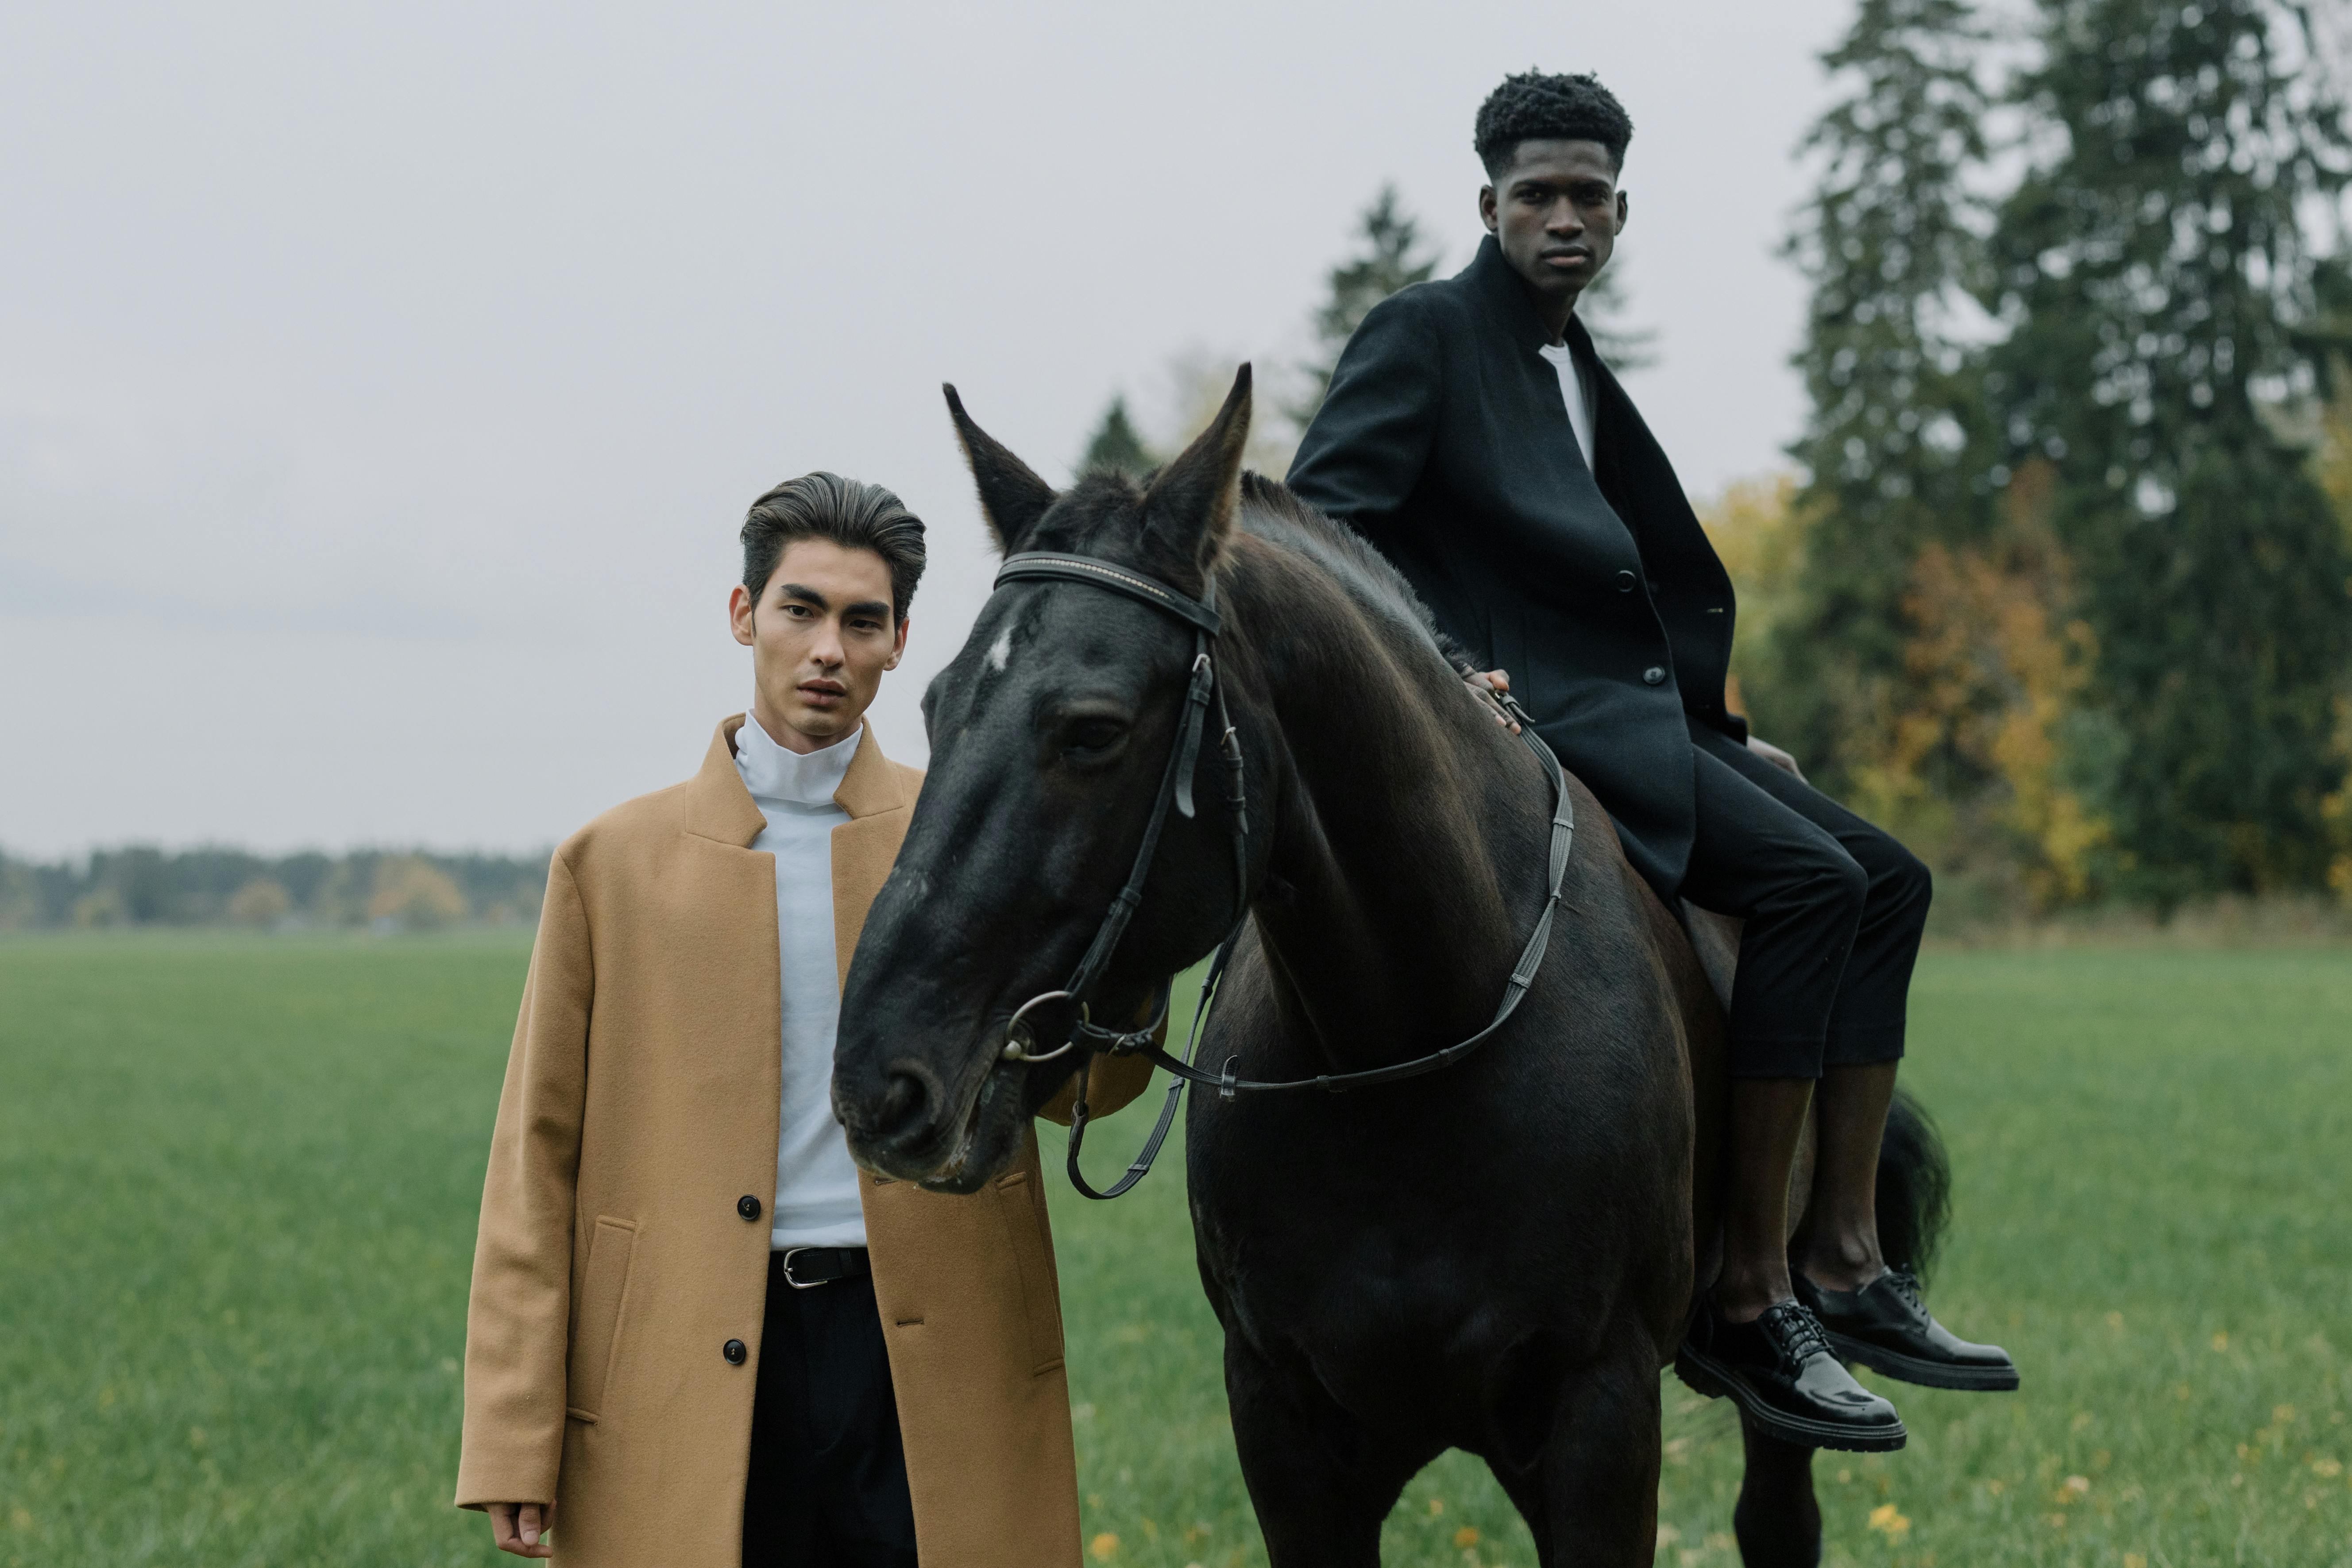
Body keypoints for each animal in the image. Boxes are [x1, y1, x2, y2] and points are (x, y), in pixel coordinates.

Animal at [832, 364, 1947, 1561]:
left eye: (1093, 730)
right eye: (935, 704)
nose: (880, 1084)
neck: (1410, 1052)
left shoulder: (1600, 1423)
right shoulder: (1284, 1432)